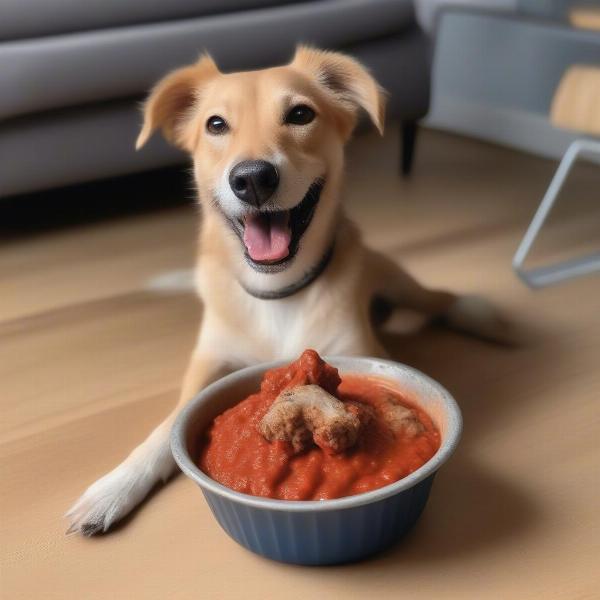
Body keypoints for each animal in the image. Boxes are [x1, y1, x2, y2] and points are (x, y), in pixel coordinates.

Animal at [65, 45, 506, 536]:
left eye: (300, 114)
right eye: (215, 124)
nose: (253, 179)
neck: (276, 290)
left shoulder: (362, 349)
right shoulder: (209, 361)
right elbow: (167, 426)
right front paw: (114, 487)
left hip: (390, 274)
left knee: (435, 297)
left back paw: (480, 314)